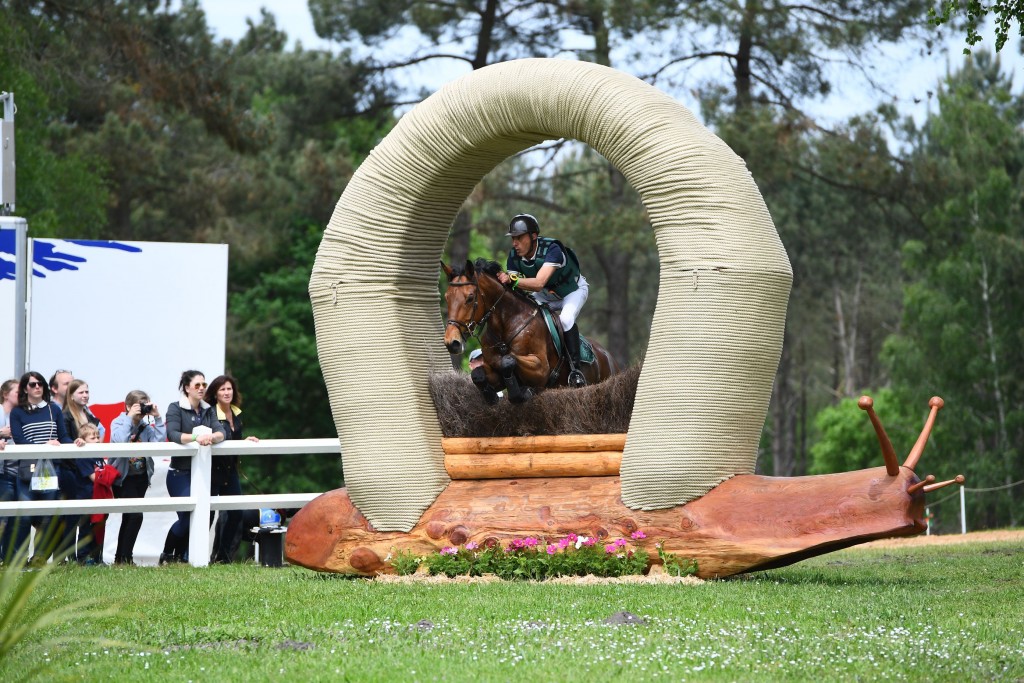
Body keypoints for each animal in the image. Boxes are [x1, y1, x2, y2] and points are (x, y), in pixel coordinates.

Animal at [440, 259, 614, 403]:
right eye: (447, 297)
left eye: (470, 298)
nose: (452, 342)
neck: (506, 325)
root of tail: (606, 354)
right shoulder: (495, 375)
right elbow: (477, 374)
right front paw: (491, 397)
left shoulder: (540, 369)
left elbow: (508, 360)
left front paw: (520, 394)